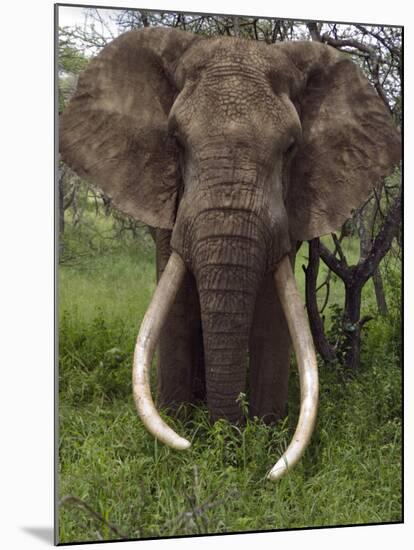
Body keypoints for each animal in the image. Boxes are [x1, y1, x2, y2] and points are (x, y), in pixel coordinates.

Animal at [59, 28, 400, 480]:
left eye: (290, 147)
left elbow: (274, 312)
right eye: (176, 141)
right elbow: (177, 308)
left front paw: (266, 438)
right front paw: (180, 436)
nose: (223, 445)